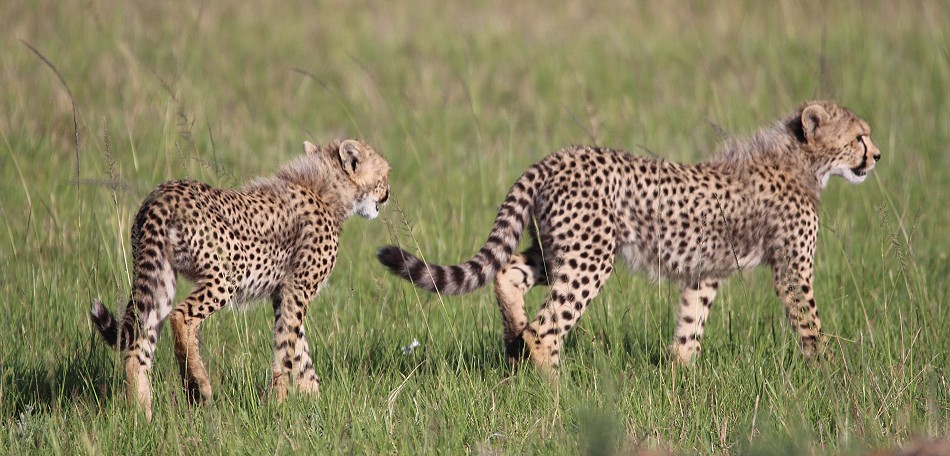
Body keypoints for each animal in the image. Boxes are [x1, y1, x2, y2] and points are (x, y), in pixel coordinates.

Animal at [89, 139, 386, 420]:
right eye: (384, 174)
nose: (387, 194)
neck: (325, 188)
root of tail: (162, 194)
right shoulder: (297, 289)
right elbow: (287, 351)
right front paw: (280, 407)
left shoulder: (283, 293)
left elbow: (299, 351)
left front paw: (314, 401)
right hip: (227, 275)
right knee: (181, 316)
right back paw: (196, 387)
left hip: (159, 279)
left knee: (138, 349)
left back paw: (142, 417)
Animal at [376, 101, 880, 376]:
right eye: (859, 136)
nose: (875, 155)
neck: (801, 158)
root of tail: (557, 155)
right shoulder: (792, 270)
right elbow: (810, 323)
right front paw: (828, 377)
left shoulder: (706, 270)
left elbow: (691, 323)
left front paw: (681, 377)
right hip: (590, 257)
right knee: (546, 328)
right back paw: (557, 392)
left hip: (565, 248)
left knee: (506, 272)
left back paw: (513, 338)